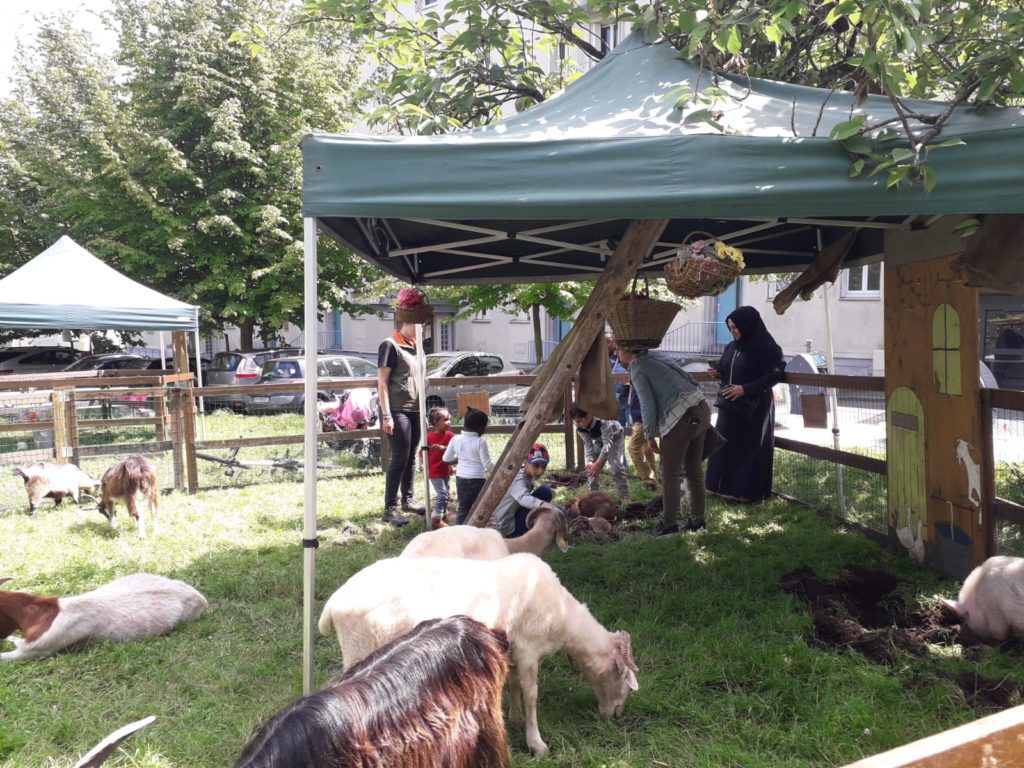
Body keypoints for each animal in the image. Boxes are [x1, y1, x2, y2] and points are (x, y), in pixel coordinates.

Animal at [319, 552, 638, 757]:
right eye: (623, 676)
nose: (617, 714)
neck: (562, 616)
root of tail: (333, 604)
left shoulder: (513, 650)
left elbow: (514, 685)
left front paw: (514, 718)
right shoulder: (529, 648)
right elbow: (532, 694)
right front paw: (536, 744)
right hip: (360, 650)